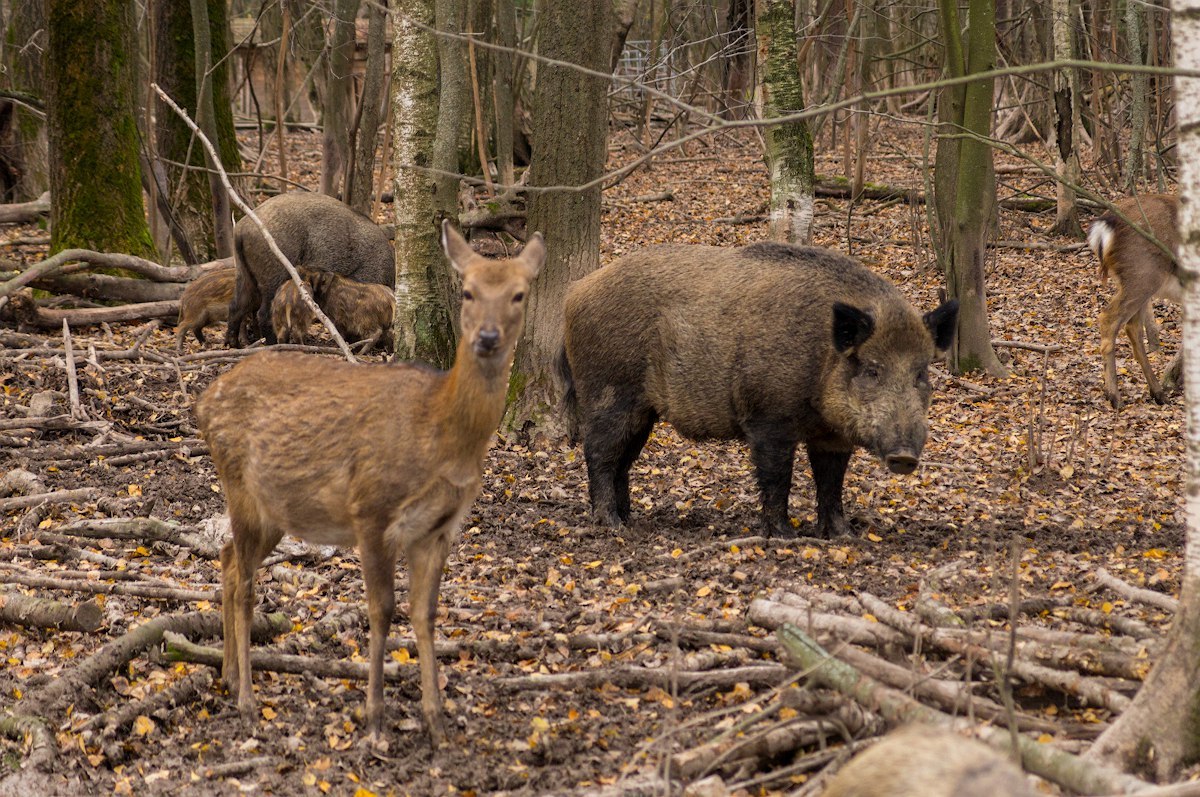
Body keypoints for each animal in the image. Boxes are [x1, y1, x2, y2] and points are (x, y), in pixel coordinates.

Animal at [195, 220, 544, 744]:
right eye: (467, 290)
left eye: (519, 294)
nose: (486, 337)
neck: (439, 432)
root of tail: (202, 402)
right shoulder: (372, 511)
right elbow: (382, 610)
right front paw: (375, 717)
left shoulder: (438, 529)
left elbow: (424, 613)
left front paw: (436, 721)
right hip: (239, 485)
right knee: (246, 582)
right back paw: (248, 701)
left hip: (274, 508)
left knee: (229, 558)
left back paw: (230, 677)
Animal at [1089, 193, 1180, 410]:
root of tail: (1105, 224)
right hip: (1143, 275)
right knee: (1109, 319)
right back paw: (1115, 397)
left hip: (1138, 282)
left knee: (1133, 327)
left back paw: (1158, 393)